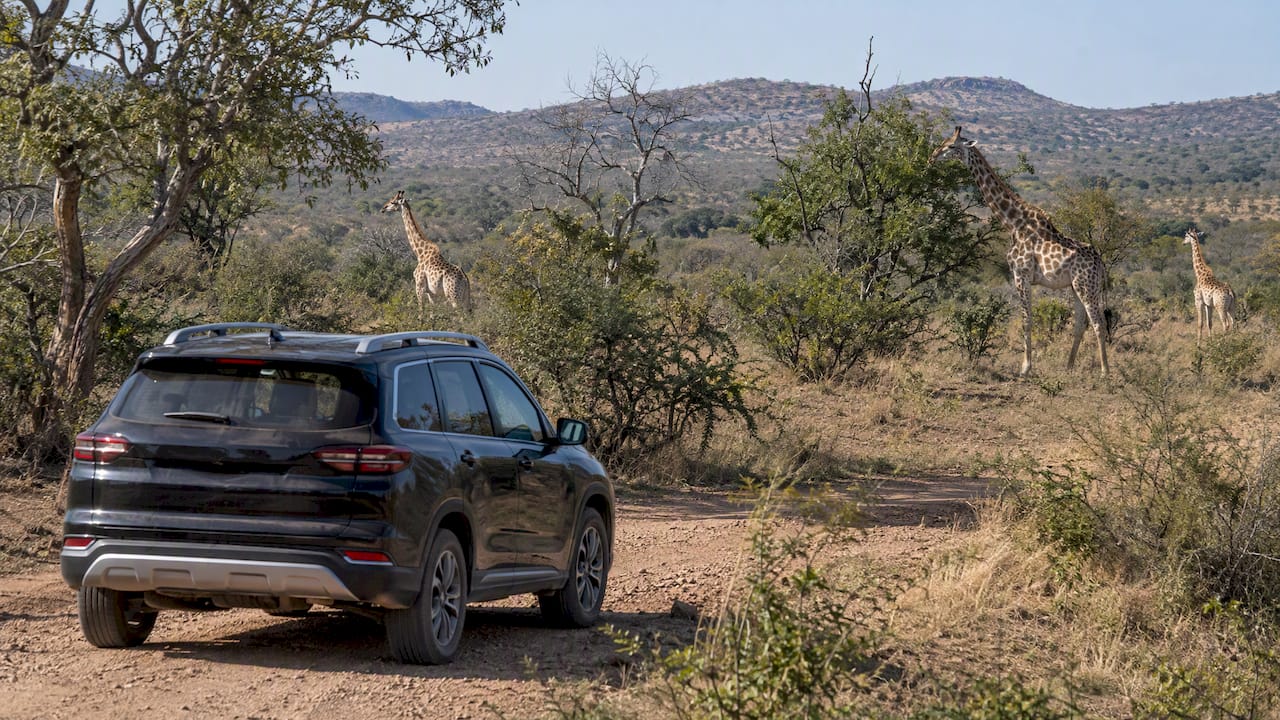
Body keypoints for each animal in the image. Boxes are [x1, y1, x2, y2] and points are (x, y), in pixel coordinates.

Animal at [930, 126, 1109, 377]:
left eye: (951, 146)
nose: (933, 156)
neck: (1013, 224)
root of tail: (1101, 265)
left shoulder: (1020, 274)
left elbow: (1026, 320)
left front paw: (1025, 368)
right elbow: (1028, 319)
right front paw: (1027, 365)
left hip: (1087, 286)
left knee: (1098, 322)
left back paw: (1105, 371)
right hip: (1076, 287)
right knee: (1080, 323)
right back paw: (1068, 366)